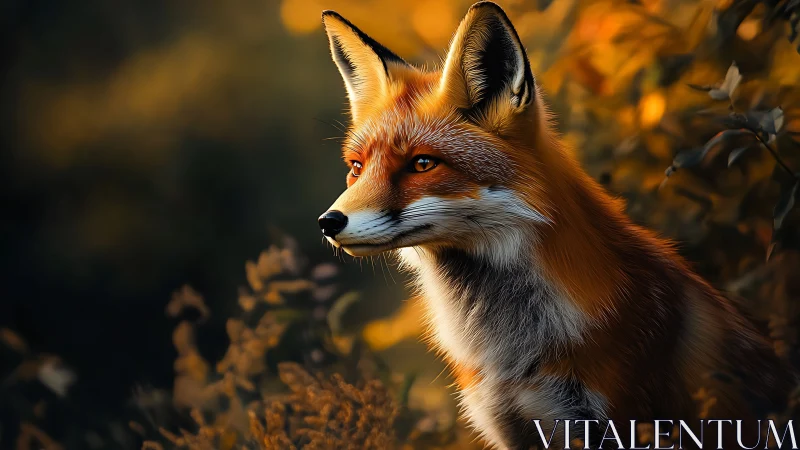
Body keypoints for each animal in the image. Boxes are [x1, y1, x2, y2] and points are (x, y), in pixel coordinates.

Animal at [316, 2, 794, 449]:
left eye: (422, 164)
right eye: (356, 168)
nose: (328, 222)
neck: (512, 354)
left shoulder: (609, 420)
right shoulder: (512, 425)